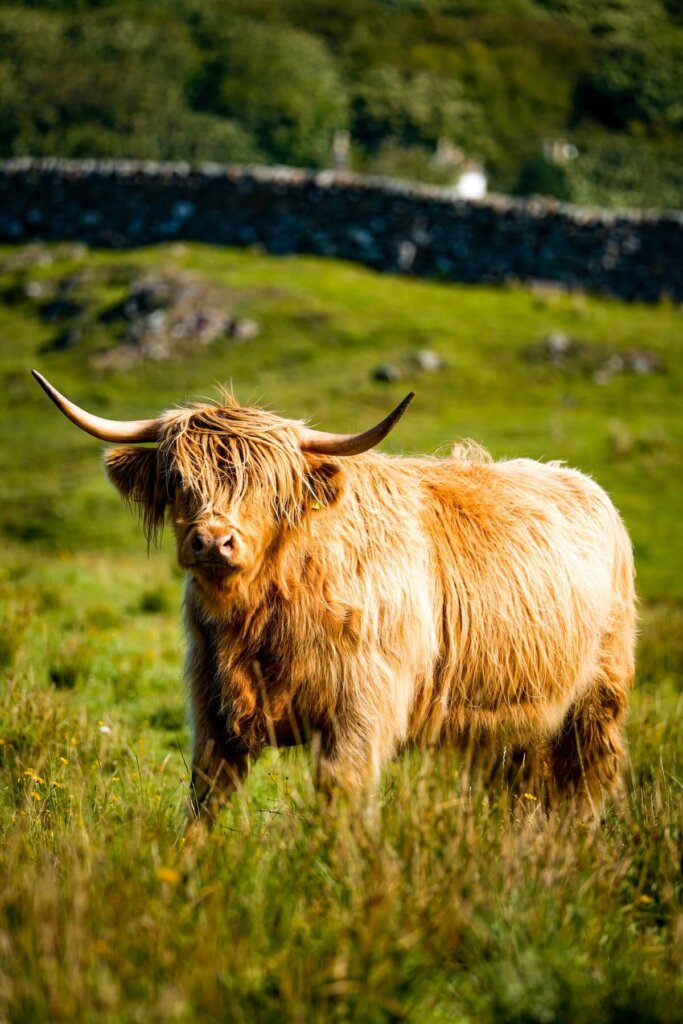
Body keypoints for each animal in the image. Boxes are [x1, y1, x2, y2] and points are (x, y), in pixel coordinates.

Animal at [34, 372, 638, 819]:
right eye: (179, 479)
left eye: (269, 486)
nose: (213, 540)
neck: (263, 611)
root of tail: (584, 484)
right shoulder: (212, 705)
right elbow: (206, 796)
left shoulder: (361, 708)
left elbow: (339, 796)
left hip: (598, 701)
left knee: (588, 783)